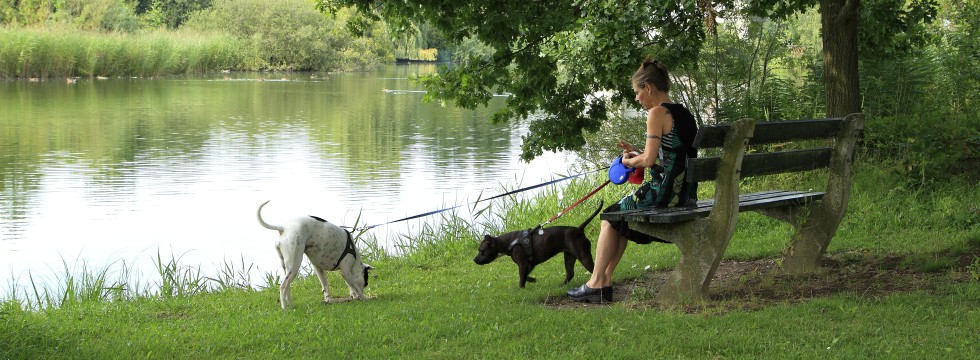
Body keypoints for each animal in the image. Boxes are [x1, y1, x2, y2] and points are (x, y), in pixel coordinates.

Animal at [472, 202, 600, 286]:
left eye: (481, 251)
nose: (474, 259)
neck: (508, 242)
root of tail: (579, 229)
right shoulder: (529, 264)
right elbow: (524, 276)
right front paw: (532, 280)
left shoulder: (523, 264)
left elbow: (521, 278)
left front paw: (521, 289)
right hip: (569, 256)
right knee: (570, 273)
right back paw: (561, 286)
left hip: (583, 256)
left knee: (594, 270)